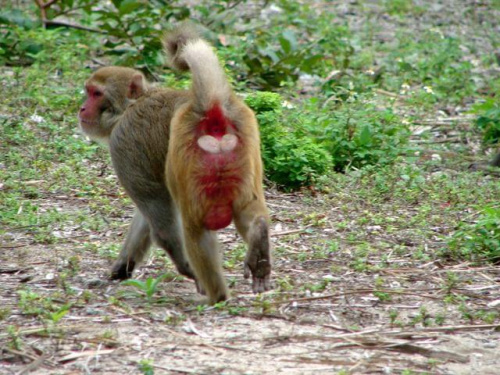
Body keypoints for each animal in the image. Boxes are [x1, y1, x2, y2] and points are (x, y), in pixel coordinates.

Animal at [78, 25, 272, 306]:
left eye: (96, 93)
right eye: (89, 91)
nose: (82, 108)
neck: (131, 106)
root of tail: (208, 109)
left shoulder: (124, 143)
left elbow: (158, 212)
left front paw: (187, 270)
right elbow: (147, 214)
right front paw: (122, 266)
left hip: (194, 164)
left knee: (195, 226)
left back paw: (217, 296)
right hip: (247, 143)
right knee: (249, 206)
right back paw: (259, 236)